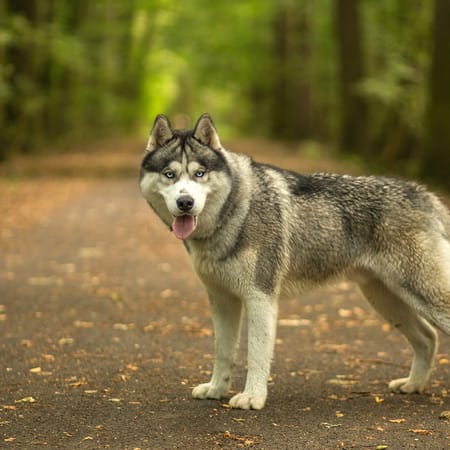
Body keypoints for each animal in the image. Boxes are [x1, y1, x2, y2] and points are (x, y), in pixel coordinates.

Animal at [140, 114, 450, 410]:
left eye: (199, 173)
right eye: (170, 175)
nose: (185, 203)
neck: (235, 210)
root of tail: (424, 194)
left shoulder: (260, 298)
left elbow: (256, 355)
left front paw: (252, 398)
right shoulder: (222, 300)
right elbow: (223, 352)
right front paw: (216, 390)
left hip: (420, 296)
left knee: (432, 335)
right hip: (386, 301)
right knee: (428, 338)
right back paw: (412, 385)